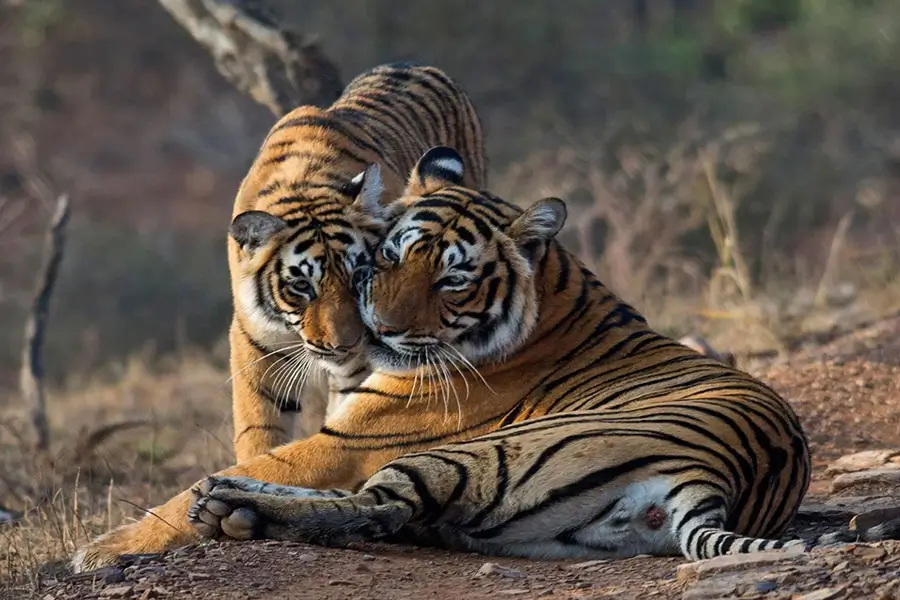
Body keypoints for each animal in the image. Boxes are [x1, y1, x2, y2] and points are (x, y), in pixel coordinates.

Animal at [183, 146, 900, 562]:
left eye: (451, 279)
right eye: (388, 256)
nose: (376, 332)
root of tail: (716, 476)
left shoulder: (356, 437)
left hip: (474, 455)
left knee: (378, 508)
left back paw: (226, 502)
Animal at [224, 61, 487, 462]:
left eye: (359, 275)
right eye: (301, 286)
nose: (343, 346)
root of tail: (412, 64)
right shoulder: (255, 346)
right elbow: (259, 430)